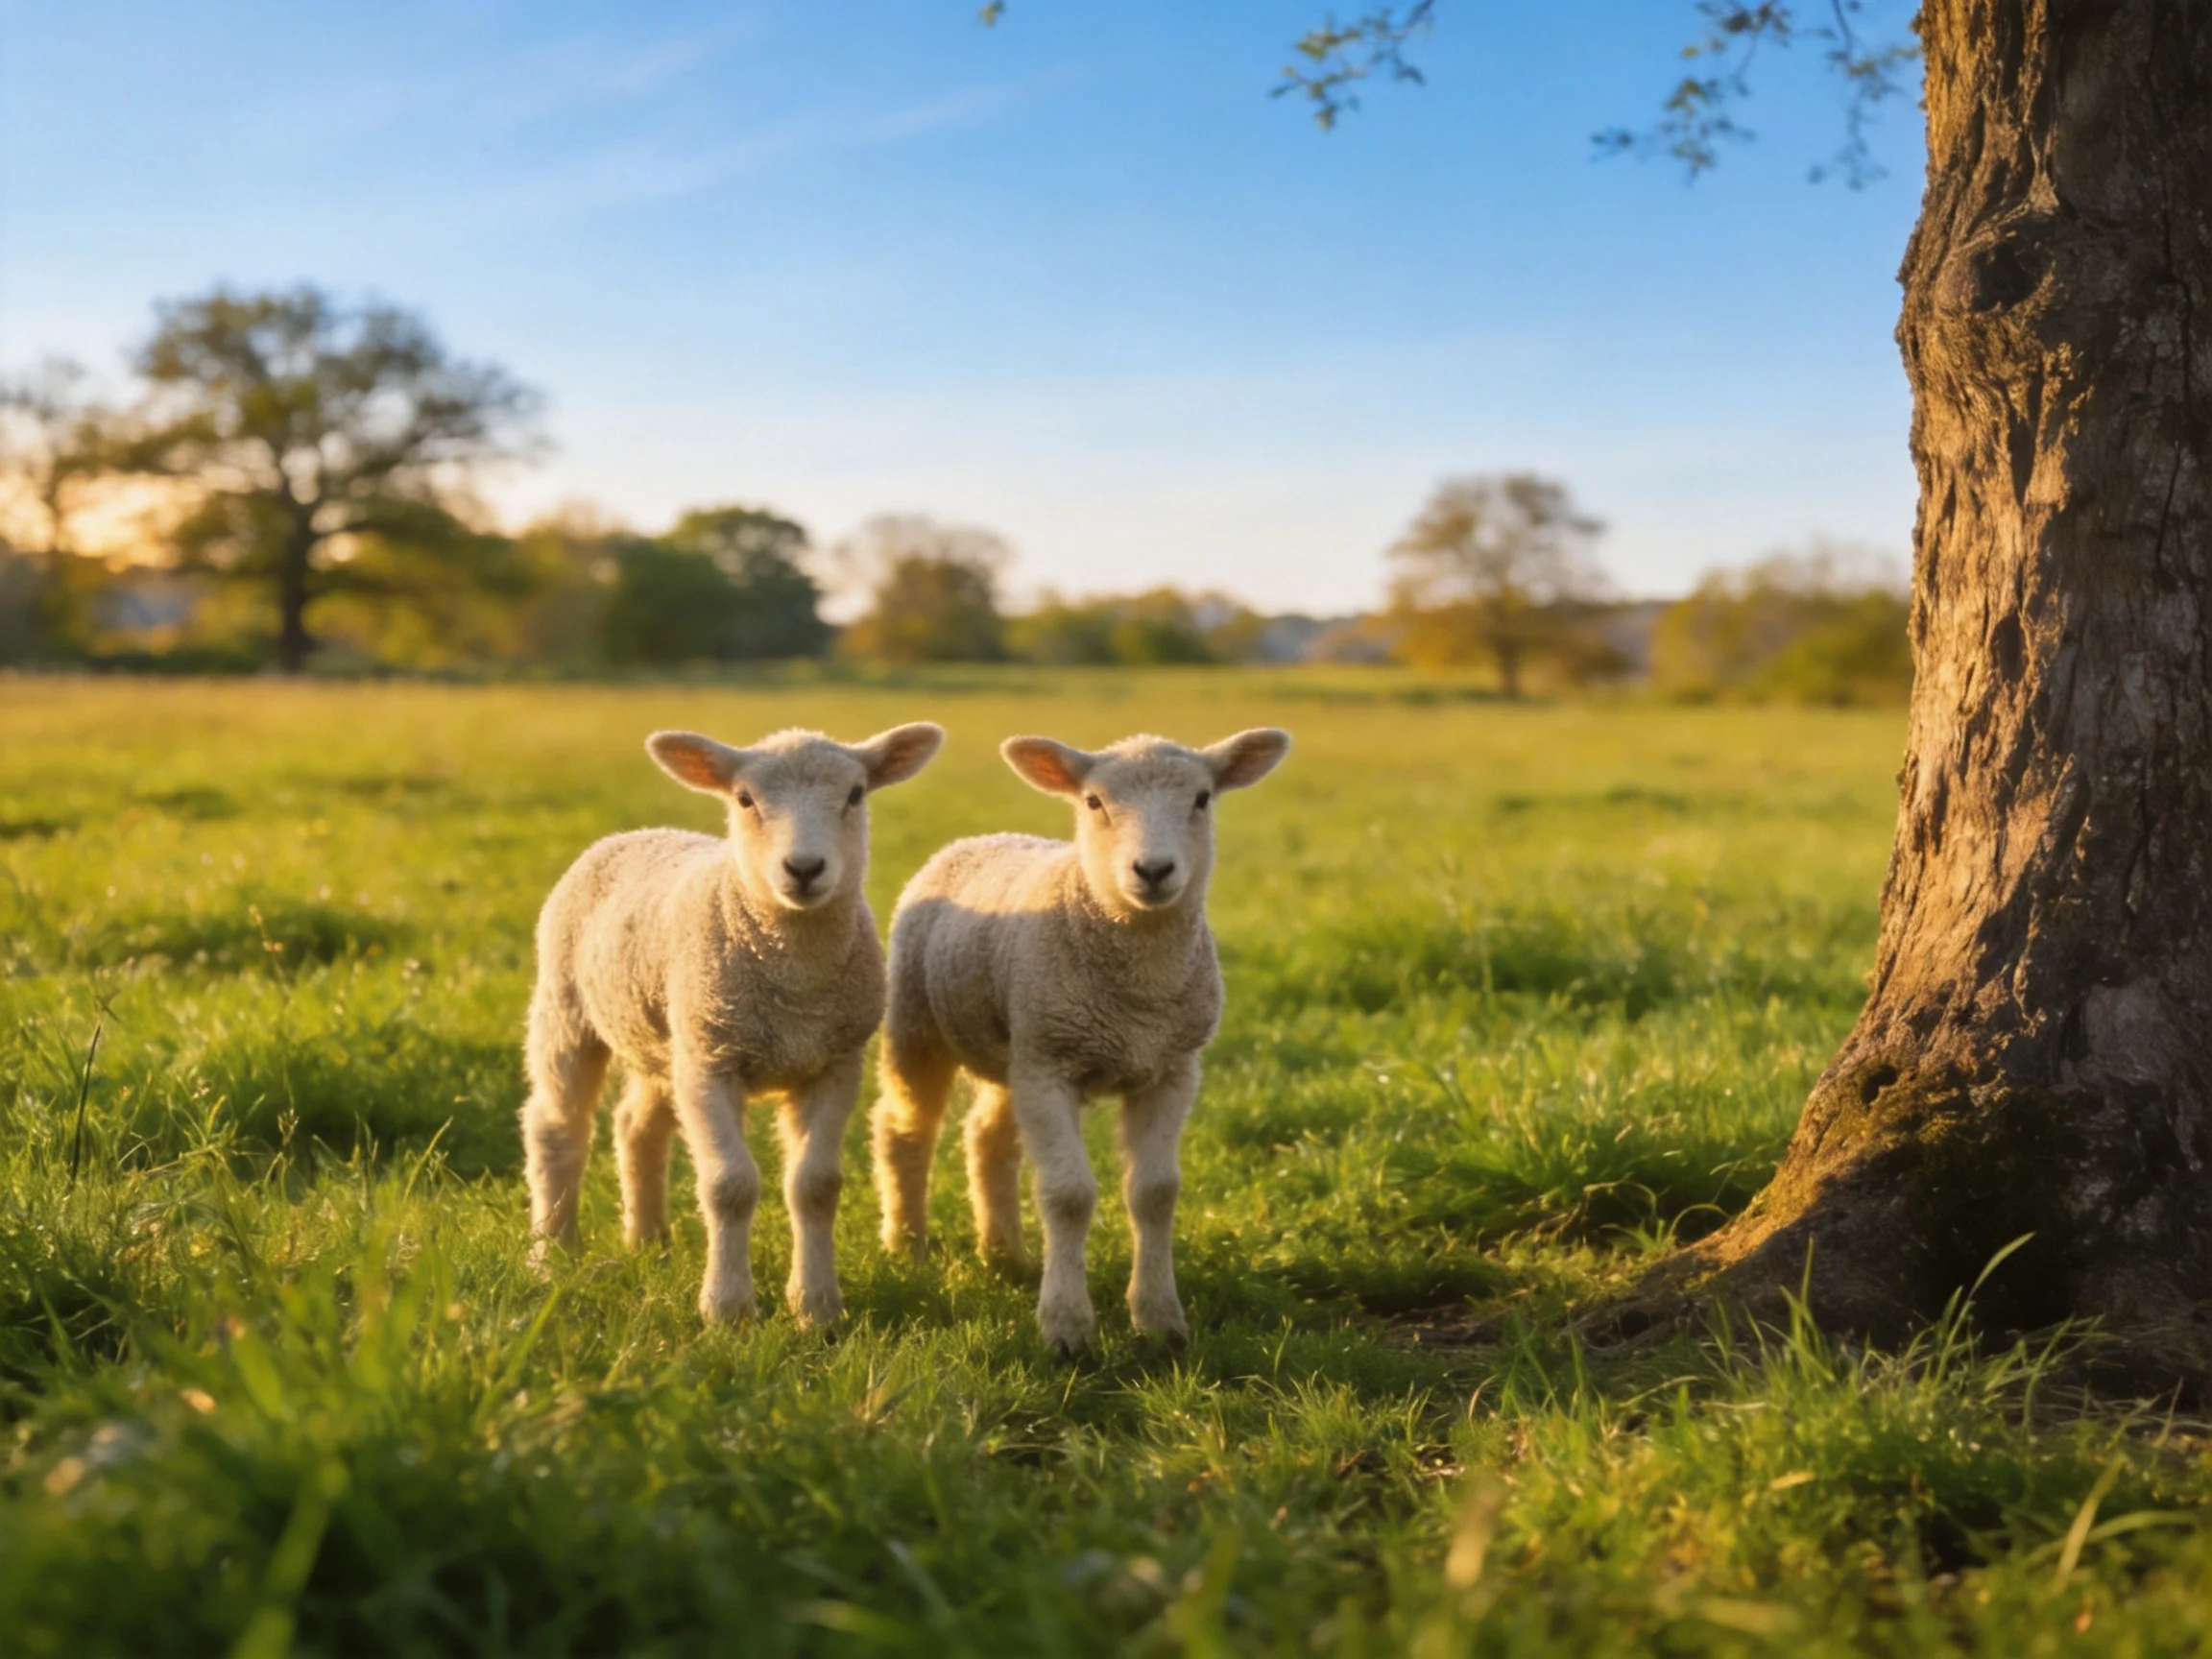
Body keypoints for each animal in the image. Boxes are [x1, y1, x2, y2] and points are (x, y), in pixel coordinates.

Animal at [521, 721, 944, 1327]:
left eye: (856, 794)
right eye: (744, 799)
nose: (804, 869)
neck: (796, 985)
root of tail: (634, 833)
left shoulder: (835, 1063)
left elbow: (817, 1186)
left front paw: (817, 1308)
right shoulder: (711, 1062)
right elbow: (729, 1185)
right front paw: (727, 1309)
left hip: (666, 1034)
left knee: (635, 1125)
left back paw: (647, 1239)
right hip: (567, 1005)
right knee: (557, 1126)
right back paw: (552, 1253)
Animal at [871, 727, 1290, 1355]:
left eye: (1201, 799)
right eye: (1094, 802)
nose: (1153, 869)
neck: (1138, 995)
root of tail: (983, 836)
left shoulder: (1172, 1067)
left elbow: (1156, 1192)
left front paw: (1160, 1320)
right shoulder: (1051, 1068)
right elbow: (1068, 1195)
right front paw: (1066, 1328)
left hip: (1014, 1045)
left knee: (987, 1138)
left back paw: (1006, 1257)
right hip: (920, 1024)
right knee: (905, 1128)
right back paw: (906, 1246)